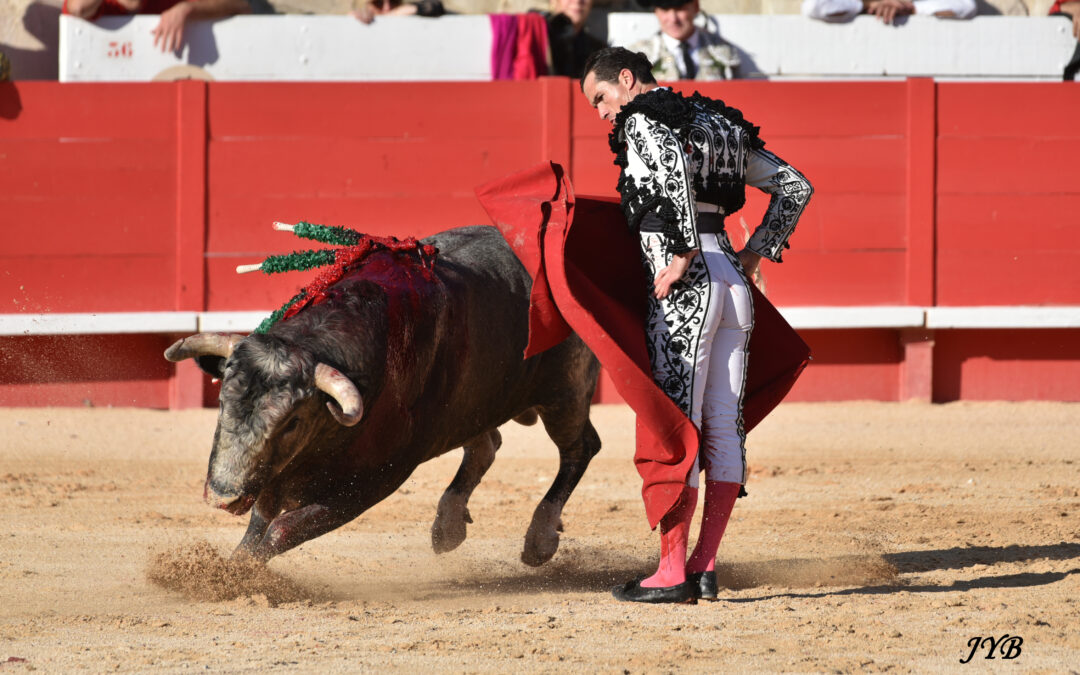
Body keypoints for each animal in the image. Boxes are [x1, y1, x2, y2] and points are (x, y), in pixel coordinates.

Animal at [162, 224, 600, 561]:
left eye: (293, 422)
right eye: (222, 401)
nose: (223, 495)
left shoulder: (377, 478)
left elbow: (282, 528)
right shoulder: (276, 473)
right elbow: (260, 522)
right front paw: (232, 567)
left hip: (566, 393)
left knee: (579, 448)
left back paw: (538, 540)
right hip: (476, 401)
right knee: (487, 444)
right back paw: (448, 526)